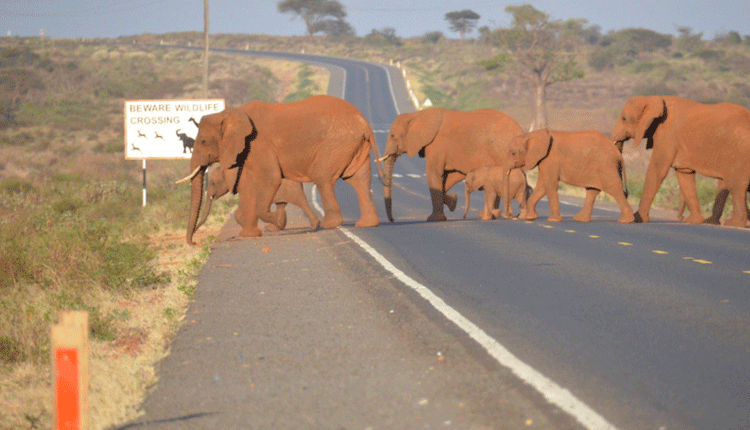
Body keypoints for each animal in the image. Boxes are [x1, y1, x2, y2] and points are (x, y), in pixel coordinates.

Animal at [179, 95, 384, 244]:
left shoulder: (259, 145)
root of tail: (364, 123)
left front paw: (274, 224)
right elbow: (249, 184)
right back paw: (366, 224)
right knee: (359, 179)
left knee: (323, 178)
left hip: (337, 144)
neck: (229, 114)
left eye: (203, 141)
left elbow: (270, 179)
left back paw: (329, 224)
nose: (194, 242)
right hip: (354, 145)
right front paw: (250, 235)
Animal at [382, 107, 524, 223]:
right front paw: (453, 202)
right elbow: (448, 178)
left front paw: (434, 219)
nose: (393, 220)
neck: (417, 115)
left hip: (502, 152)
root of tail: (519, 130)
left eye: (393, 136)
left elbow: (434, 173)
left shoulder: (436, 145)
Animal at [508, 128, 636, 223]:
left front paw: (553, 220)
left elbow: (550, 184)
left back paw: (626, 220)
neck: (532, 135)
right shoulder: (544, 160)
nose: (513, 215)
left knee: (615, 189)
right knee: (592, 190)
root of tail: (617, 152)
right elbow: (543, 186)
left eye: (513, 153)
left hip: (606, 166)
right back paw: (580, 219)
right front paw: (531, 218)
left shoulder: (550, 159)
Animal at [612, 95, 750, 227]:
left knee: (735, 186)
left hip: (740, 154)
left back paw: (734, 223)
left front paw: (638, 219)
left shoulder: (667, 134)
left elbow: (656, 170)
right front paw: (694, 221)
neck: (652, 98)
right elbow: (684, 173)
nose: (626, 193)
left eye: (623, 119)